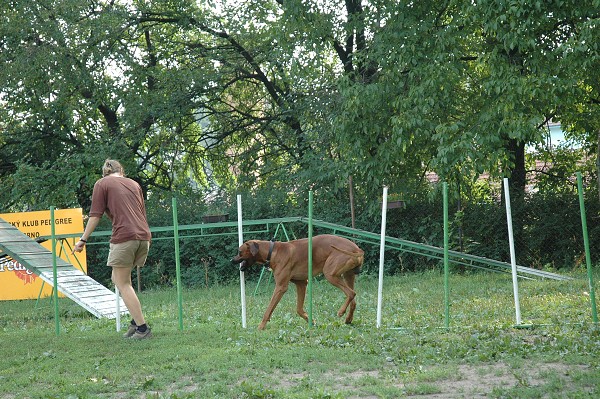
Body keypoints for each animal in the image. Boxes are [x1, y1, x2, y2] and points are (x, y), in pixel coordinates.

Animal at [231, 234, 364, 332]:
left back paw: (341, 312)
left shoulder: (281, 287)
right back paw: (348, 319)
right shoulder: (301, 284)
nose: (231, 260)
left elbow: (269, 309)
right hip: (348, 275)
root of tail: (357, 249)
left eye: (239, 251)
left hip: (330, 274)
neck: (272, 251)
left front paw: (261, 327)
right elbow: (299, 309)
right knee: (353, 300)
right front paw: (311, 321)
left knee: (351, 293)